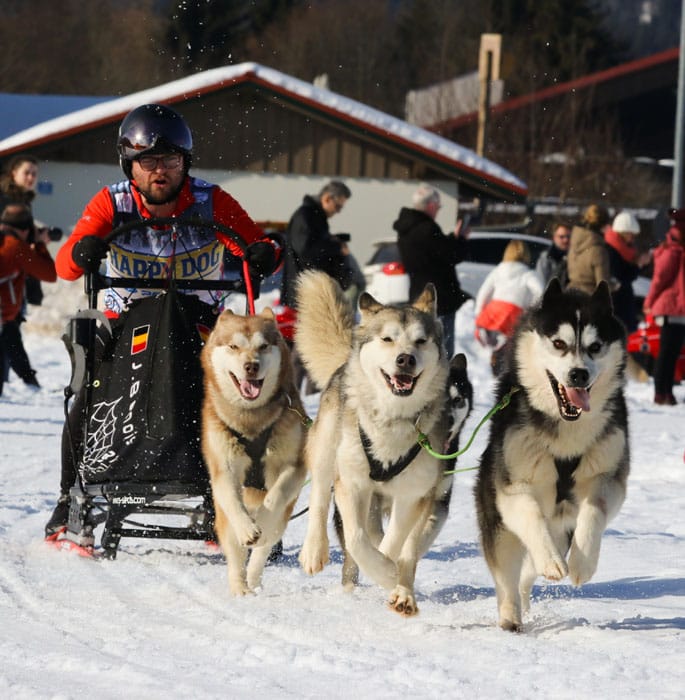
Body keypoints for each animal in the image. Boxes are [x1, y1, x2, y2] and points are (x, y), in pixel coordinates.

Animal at [199, 308, 304, 592]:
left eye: (263, 346)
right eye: (234, 346)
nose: (251, 366)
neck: (251, 421)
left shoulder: (294, 467)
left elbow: (275, 496)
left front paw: (263, 520)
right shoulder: (223, 468)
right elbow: (233, 500)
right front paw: (248, 528)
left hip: (282, 521)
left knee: (262, 551)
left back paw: (254, 583)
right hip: (223, 521)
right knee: (236, 552)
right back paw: (240, 589)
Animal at [294, 270, 448, 616]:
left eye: (421, 341)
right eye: (388, 339)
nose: (405, 359)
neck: (392, 419)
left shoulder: (415, 493)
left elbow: (397, 543)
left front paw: (398, 583)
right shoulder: (352, 483)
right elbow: (357, 539)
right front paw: (386, 572)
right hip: (327, 449)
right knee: (320, 496)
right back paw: (314, 550)